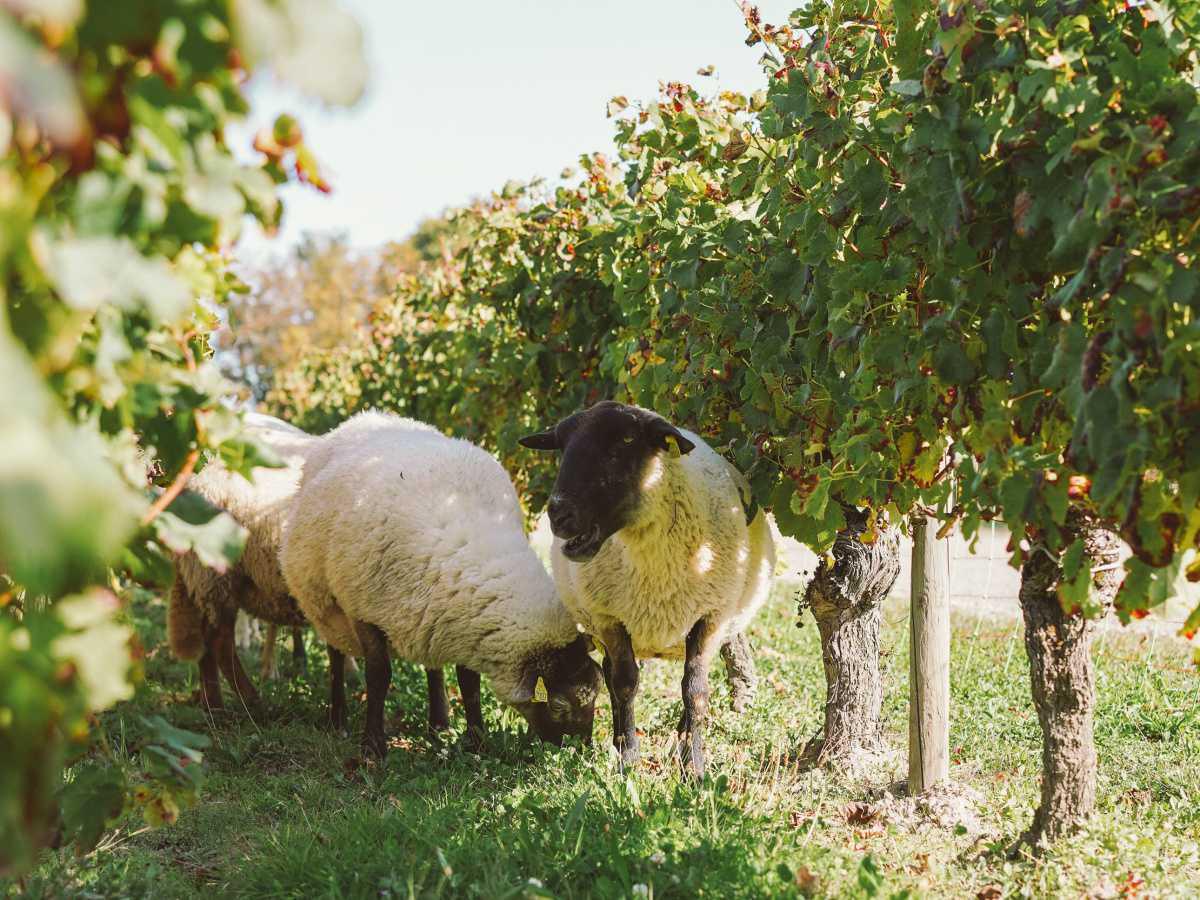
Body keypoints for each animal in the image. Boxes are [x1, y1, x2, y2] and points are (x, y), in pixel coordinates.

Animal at [278, 412, 600, 758]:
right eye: (558, 705)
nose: (582, 751)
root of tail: (366, 416)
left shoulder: (462, 619)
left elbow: (469, 683)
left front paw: (476, 741)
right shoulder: (362, 611)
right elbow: (378, 675)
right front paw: (373, 745)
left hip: (427, 616)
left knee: (432, 666)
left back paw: (439, 725)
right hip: (323, 600)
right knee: (336, 655)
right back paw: (338, 718)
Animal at [520, 398, 772, 777]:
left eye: (624, 443)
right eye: (561, 447)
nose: (558, 515)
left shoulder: (711, 617)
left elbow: (695, 691)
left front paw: (693, 767)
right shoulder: (609, 618)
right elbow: (624, 685)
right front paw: (628, 760)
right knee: (611, 675)